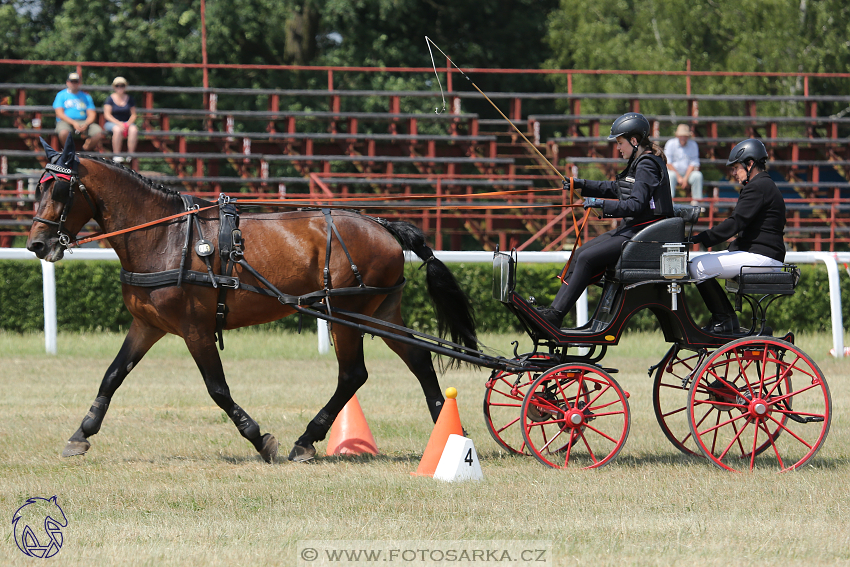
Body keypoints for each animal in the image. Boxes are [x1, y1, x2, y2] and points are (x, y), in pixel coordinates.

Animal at [28, 140, 476, 464]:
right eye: (38, 186)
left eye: (61, 188)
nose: (37, 244)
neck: (165, 236)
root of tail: (383, 225)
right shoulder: (147, 325)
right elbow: (112, 376)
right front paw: (80, 434)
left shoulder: (195, 330)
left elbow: (218, 389)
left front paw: (260, 439)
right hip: (379, 313)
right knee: (418, 361)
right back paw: (448, 431)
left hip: (346, 315)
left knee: (353, 375)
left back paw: (306, 440)